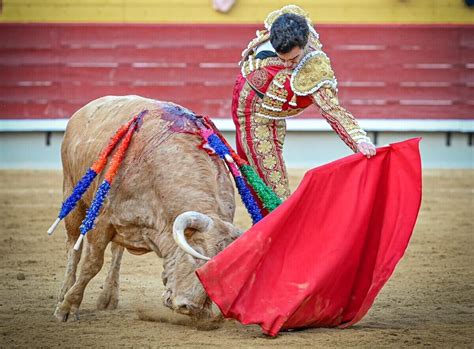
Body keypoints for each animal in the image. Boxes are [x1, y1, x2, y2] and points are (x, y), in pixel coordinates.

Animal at [54, 96, 243, 324]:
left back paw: (108, 297)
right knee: (74, 246)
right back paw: (64, 291)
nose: (191, 308)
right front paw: (67, 308)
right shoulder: (101, 221)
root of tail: (84, 110)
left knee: (117, 251)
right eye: (196, 255)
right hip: (72, 193)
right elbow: (92, 264)